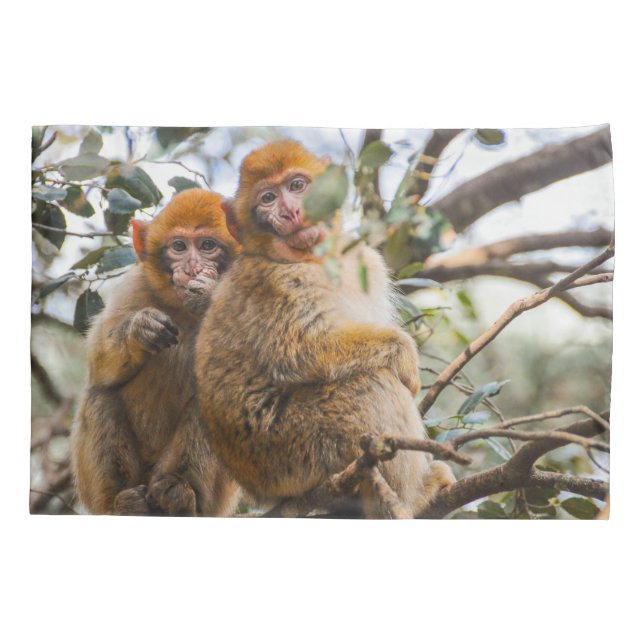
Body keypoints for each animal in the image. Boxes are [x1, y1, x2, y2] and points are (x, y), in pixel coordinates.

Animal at [71, 188, 243, 516]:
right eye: (179, 246)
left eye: (207, 246)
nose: (191, 268)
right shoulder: (136, 286)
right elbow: (98, 364)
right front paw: (139, 329)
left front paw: (207, 293)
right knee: (100, 393)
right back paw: (122, 503)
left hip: (216, 502)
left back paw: (178, 493)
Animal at [195, 140, 454, 518]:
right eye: (268, 199)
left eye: (296, 186)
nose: (290, 211)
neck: (314, 258)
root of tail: (260, 491)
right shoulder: (277, 284)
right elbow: (301, 350)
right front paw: (405, 356)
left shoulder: (366, 261)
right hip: (292, 450)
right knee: (370, 384)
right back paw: (413, 499)